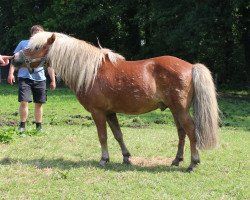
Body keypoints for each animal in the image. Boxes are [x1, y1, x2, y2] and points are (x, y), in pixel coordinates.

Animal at [11, 31, 219, 172]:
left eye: (36, 47)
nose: (14, 59)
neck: (91, 72)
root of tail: (191, 66)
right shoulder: (110, 112)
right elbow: (118, 135)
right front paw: (126, 158)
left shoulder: (98, 113)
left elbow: (102, 136)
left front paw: (104, 159)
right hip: (175, 110)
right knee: (182, 133)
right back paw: (177, 160)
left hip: (180, 110)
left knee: (191, 131)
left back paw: (192, 163)